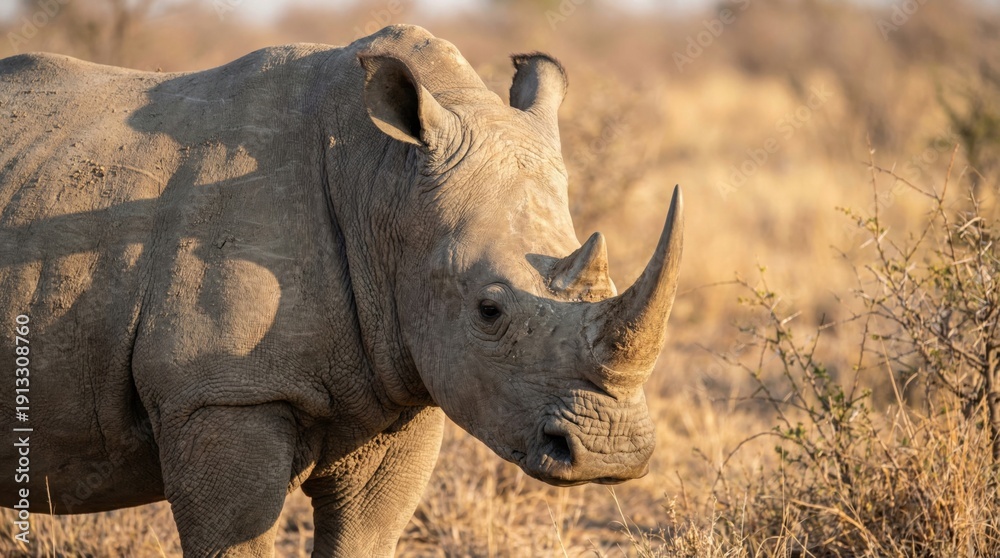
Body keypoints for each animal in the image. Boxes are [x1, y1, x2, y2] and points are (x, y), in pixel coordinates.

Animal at [0, 24, 683, 556]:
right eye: (489, 311)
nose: (611, 455)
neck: (385, 183)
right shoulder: (223, 392)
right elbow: (235, 535)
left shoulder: (402, 382)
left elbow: (367, 534)